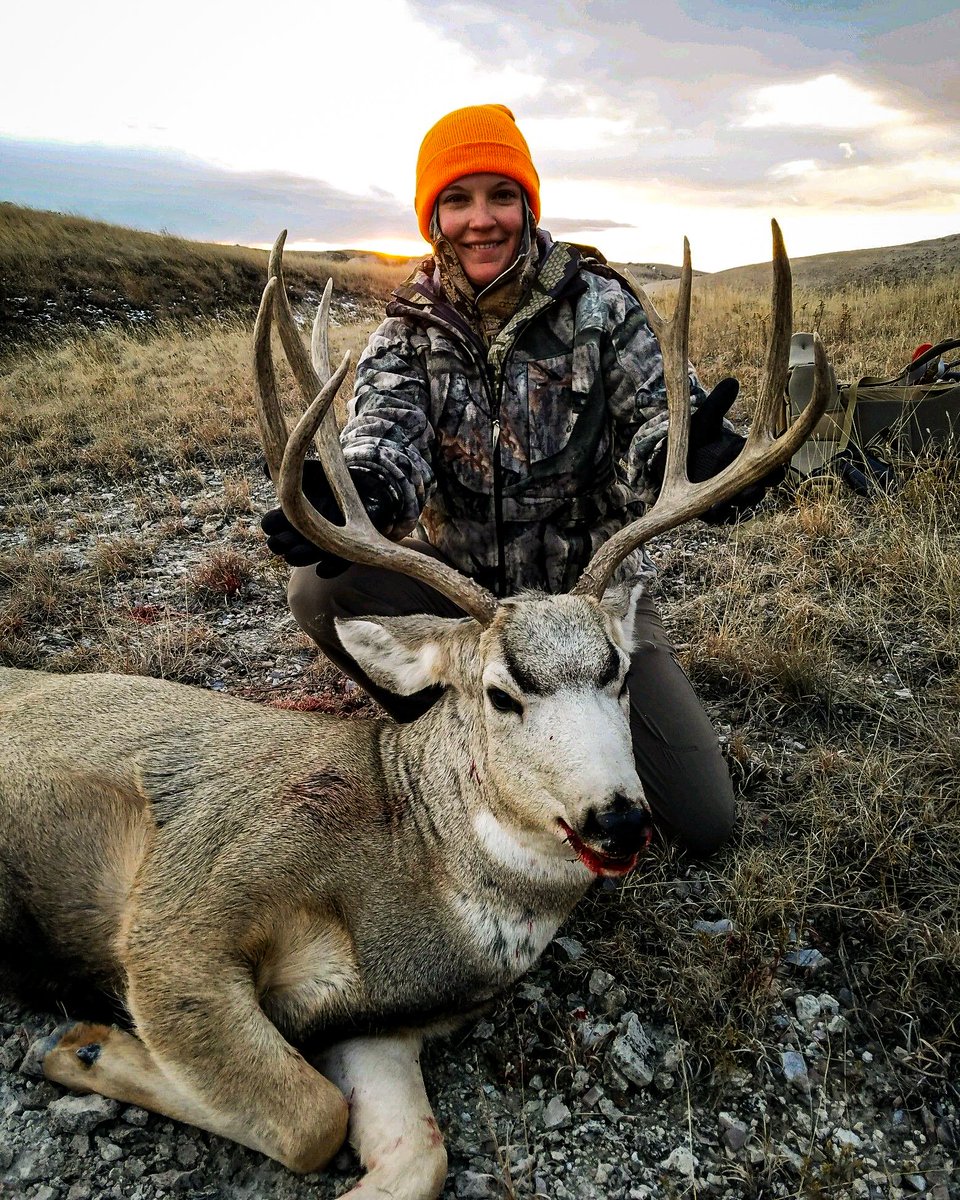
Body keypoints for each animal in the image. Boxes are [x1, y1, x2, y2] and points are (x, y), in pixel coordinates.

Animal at [0, 221, 830, 1200]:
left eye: (621, 674)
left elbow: (410, 1152)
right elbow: (308, 1115)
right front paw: (84, 1044)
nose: (621, 819)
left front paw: (89, 1049)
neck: (408, 866)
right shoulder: (184, 910)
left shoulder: (380, 1027)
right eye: (502, 692)